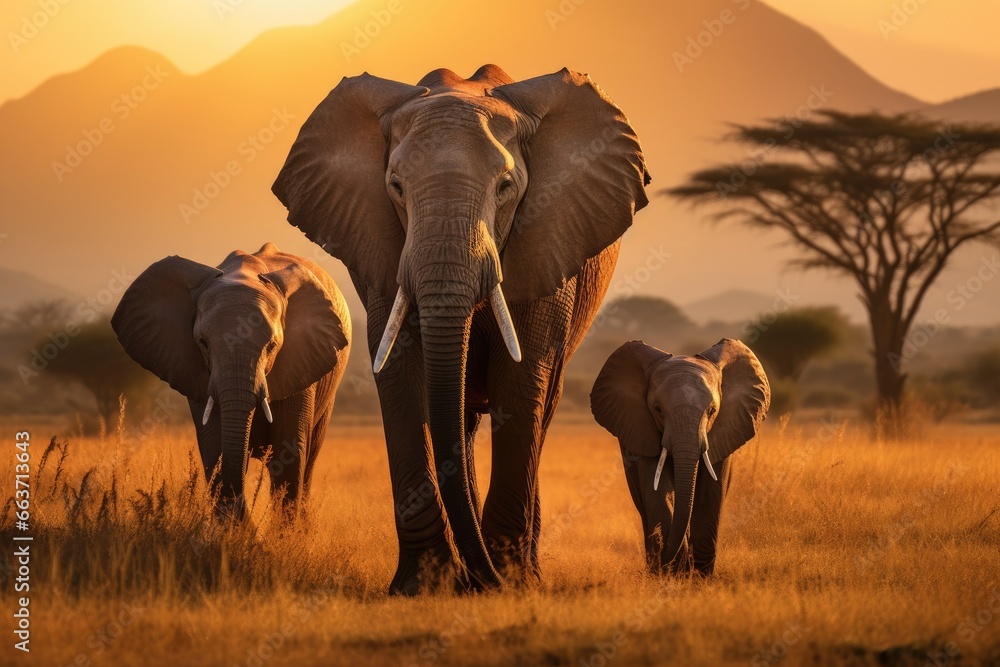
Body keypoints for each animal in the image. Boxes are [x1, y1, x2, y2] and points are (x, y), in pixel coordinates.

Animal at [272, 64, 650, 593]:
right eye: (396, 186)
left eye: (506, 186)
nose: (485, 580)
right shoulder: (381, 250)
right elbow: (400, 375)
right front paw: (422, 585)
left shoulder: (547, 239)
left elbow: (522, 379)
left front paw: (510, 581)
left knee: (542, 405)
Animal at [590, 338, 769, 575]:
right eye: (657, 409)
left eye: (712, 411)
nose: (669, 557)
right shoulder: (643, 431)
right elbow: (658, 490)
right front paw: (673, 571)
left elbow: (711, 490)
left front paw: (699, 576)